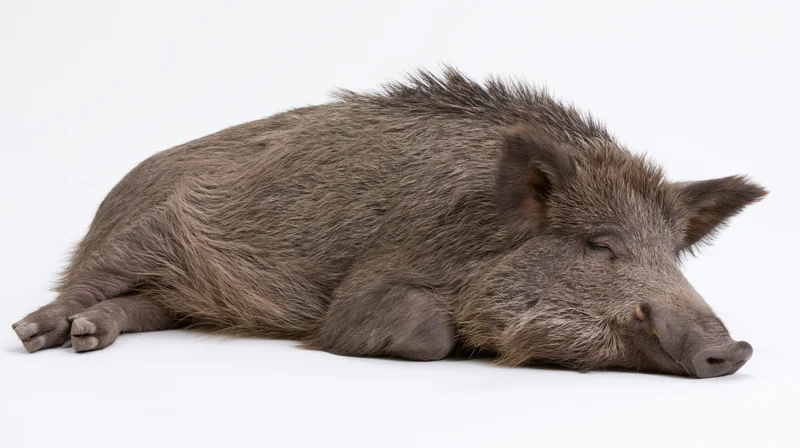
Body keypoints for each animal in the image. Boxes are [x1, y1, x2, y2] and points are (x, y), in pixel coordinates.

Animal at [12, 67, 766, 377]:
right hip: (135, 238)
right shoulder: (363, 289)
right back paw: (39, 334)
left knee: (141, 309)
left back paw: (87, 338)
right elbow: (427, 335)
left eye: (672, 256)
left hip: (172, 293)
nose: (732, 350)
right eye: (600, 245)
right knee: (82, 286)